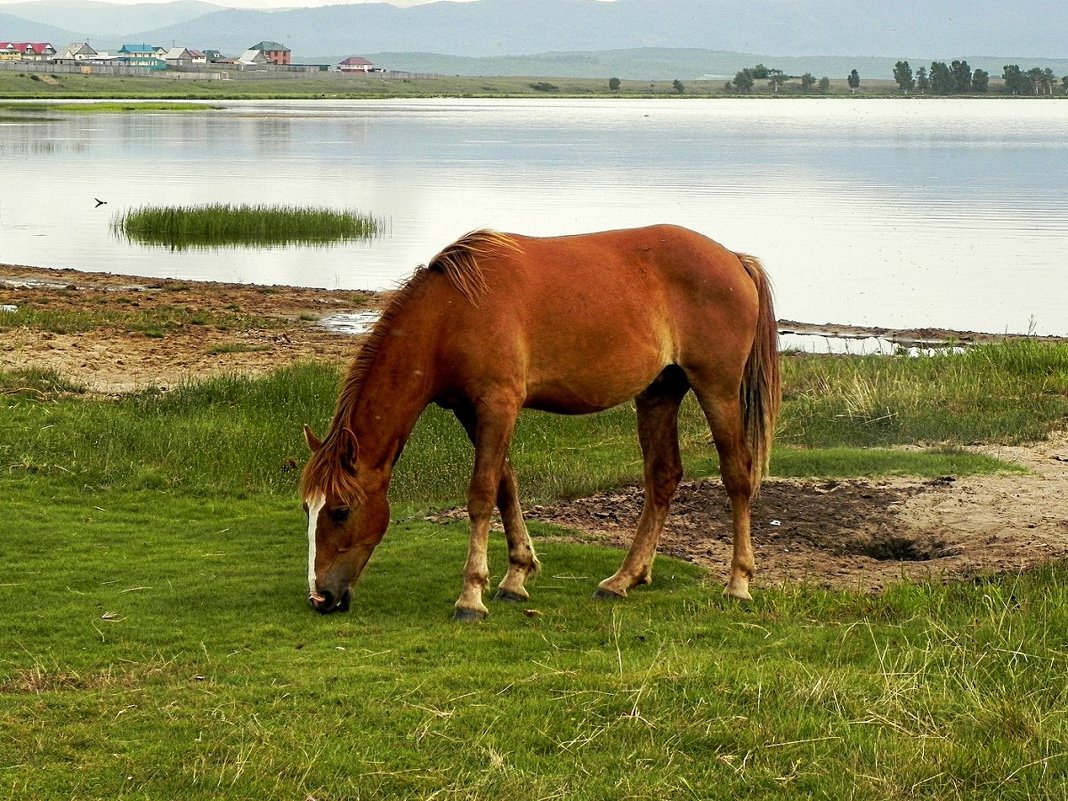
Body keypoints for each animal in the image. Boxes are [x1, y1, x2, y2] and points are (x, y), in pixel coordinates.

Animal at [301, 226, 777, 619]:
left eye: (341, 511)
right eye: (308, 508)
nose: (320, 597)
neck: (455, 311)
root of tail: (733, 258)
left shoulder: (499, 405)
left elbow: (481, 494)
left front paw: (471, 596)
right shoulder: (473, 412)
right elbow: (506, 487)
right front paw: (516, 577)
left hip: (717, 389)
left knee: (737, 475)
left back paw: (738, 584)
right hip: (660, 392)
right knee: (662, 477)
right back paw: (624, 579)